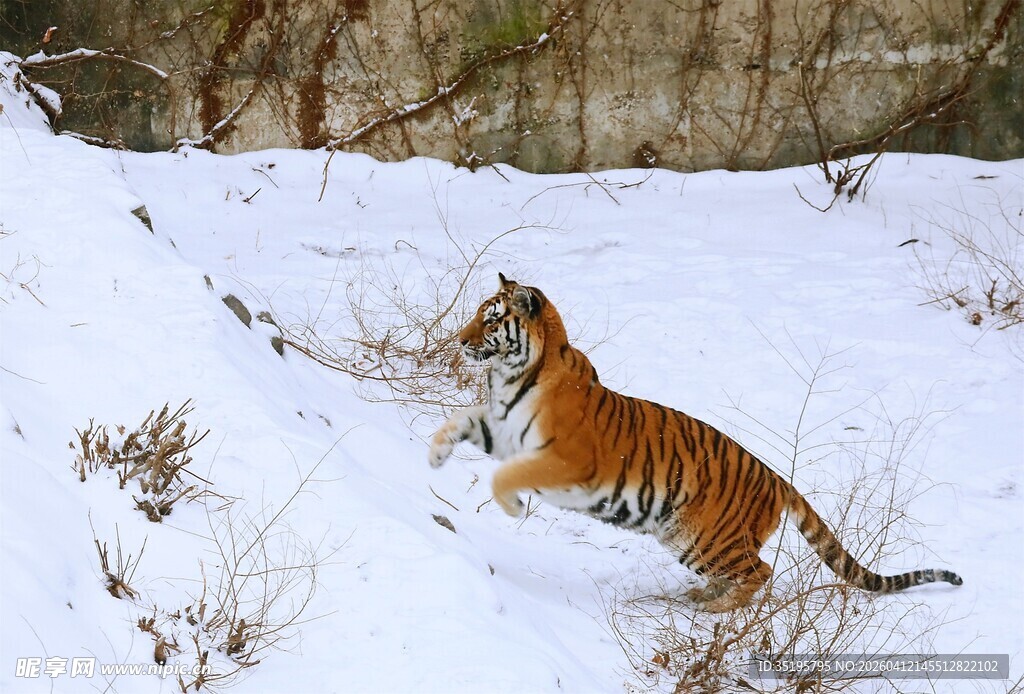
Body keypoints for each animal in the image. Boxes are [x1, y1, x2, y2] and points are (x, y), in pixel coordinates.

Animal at [429, 274, 963, 612]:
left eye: (491, 320)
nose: (460, 340)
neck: (513, 374)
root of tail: (777, 479)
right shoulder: (503, 428)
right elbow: (462, 419)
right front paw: (434, 453)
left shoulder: (563, 460)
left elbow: (505, 476)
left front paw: (513, 507)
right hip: (685, 536)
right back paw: (703, 597)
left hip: (707, 537)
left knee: (761, 571)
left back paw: (716, 608)